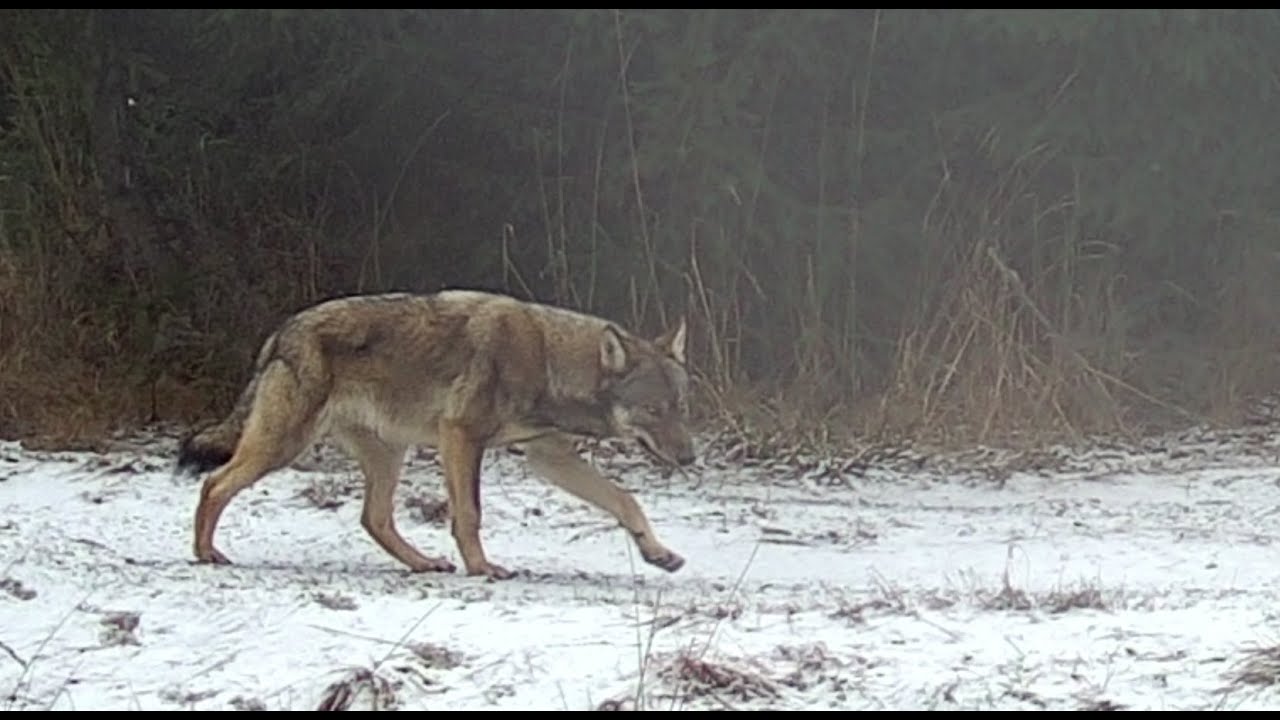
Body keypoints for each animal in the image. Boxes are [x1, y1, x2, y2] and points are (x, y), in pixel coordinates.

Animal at [175, 289, 695, 580]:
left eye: (680, 407)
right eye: (653, 410)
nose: (691, 459)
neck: (549, 359)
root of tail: (281, 333)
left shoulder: (549, 458)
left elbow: (625, 500)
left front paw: (658, 553)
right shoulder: (461, 436)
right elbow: (469, 515)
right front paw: (482, 568)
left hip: (388, 454)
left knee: (374, 519)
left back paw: (424, 564)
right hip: (282, 447)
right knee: (214, 484)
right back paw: (205, 553)